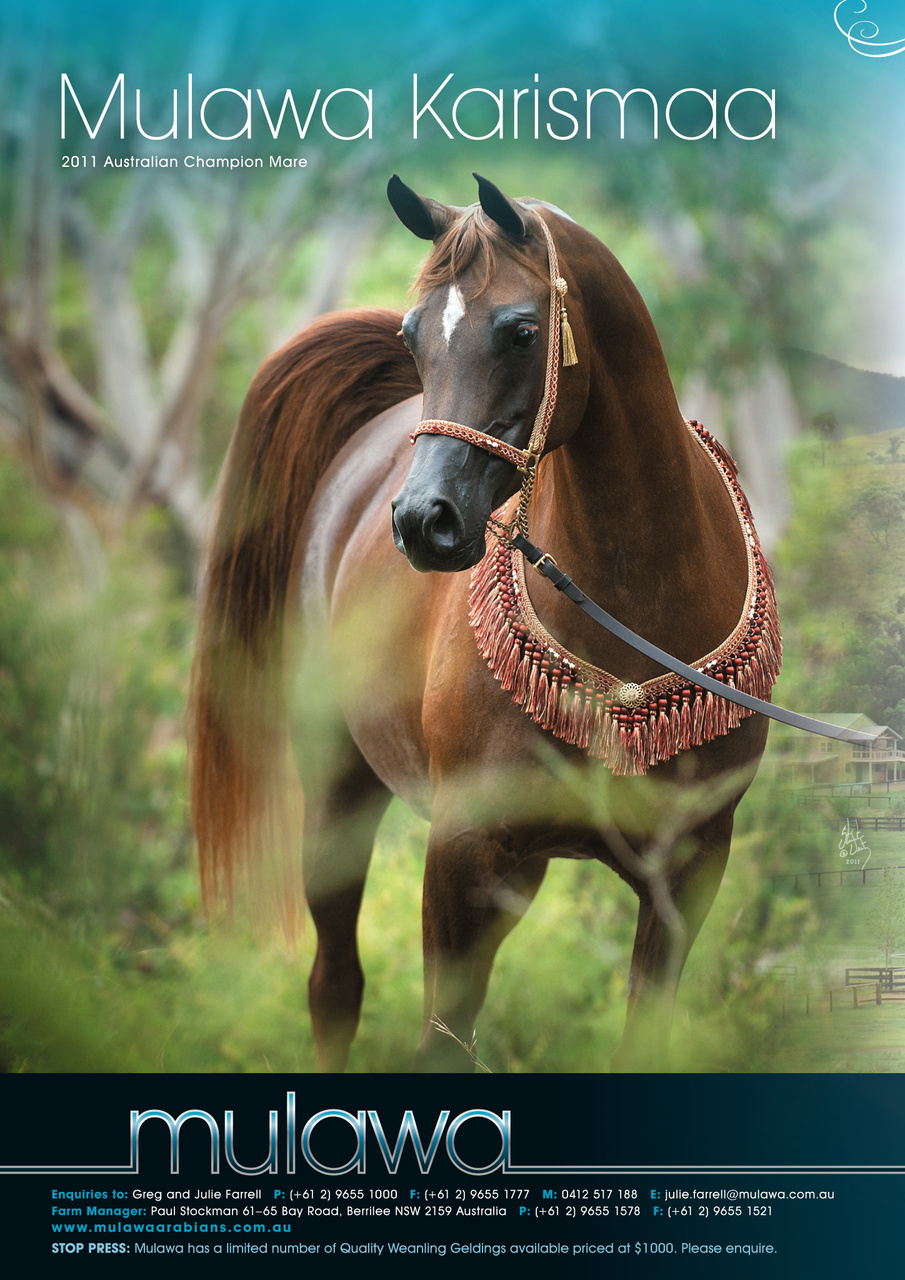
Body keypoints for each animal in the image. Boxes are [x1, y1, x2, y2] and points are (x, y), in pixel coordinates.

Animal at [188, 173, 779, 1073]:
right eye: (413, 335)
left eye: (521, 330)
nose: (421, 522)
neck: (636, 609)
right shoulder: (461, 858)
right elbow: (441, 1040)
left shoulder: (687, 866)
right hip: (337, 793)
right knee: (334, 986)